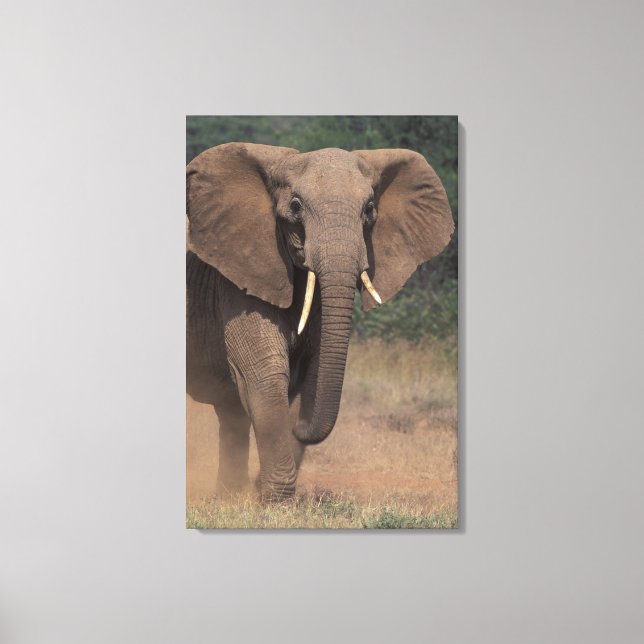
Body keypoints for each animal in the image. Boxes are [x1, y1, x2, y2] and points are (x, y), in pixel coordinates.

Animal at [186, 143, 454, 502]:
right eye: (295, 207)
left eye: (370, 209)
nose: (298, 426)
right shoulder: (237, 275)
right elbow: (265, 373)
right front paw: (275, 502)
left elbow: (313, 375)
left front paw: (267, 496)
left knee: (231, 412)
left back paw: (229, 496)